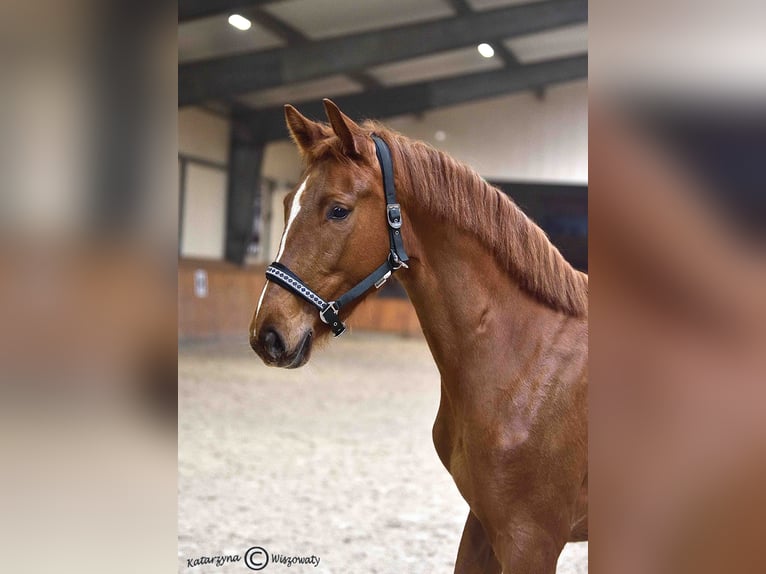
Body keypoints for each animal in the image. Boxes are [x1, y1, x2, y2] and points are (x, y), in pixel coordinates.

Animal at [250, 99, 588, 573]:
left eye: (338, 210)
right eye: (285, 202)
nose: (268, 334)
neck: (527, 361)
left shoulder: (532, 540)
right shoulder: (482, 522)